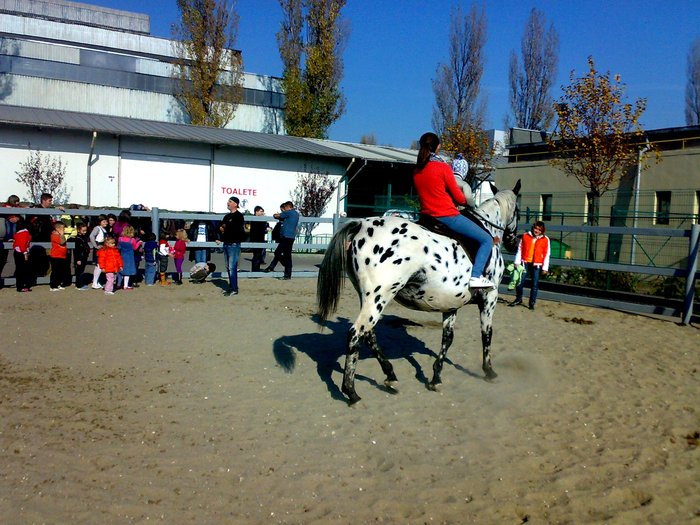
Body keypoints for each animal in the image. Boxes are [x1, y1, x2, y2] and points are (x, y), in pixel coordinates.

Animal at [318, 181, 520, 406]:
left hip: (369, 298)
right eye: (518, 211)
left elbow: (447, 338)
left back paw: (390, 375)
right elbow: (487, 334)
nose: (513, 241)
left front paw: (436, 378)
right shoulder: (489, 298)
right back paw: (351, 392)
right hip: (379, 297)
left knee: (369, 334)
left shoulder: (451, 303)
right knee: (355, 334)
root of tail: (361, 225)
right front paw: (489, 371)